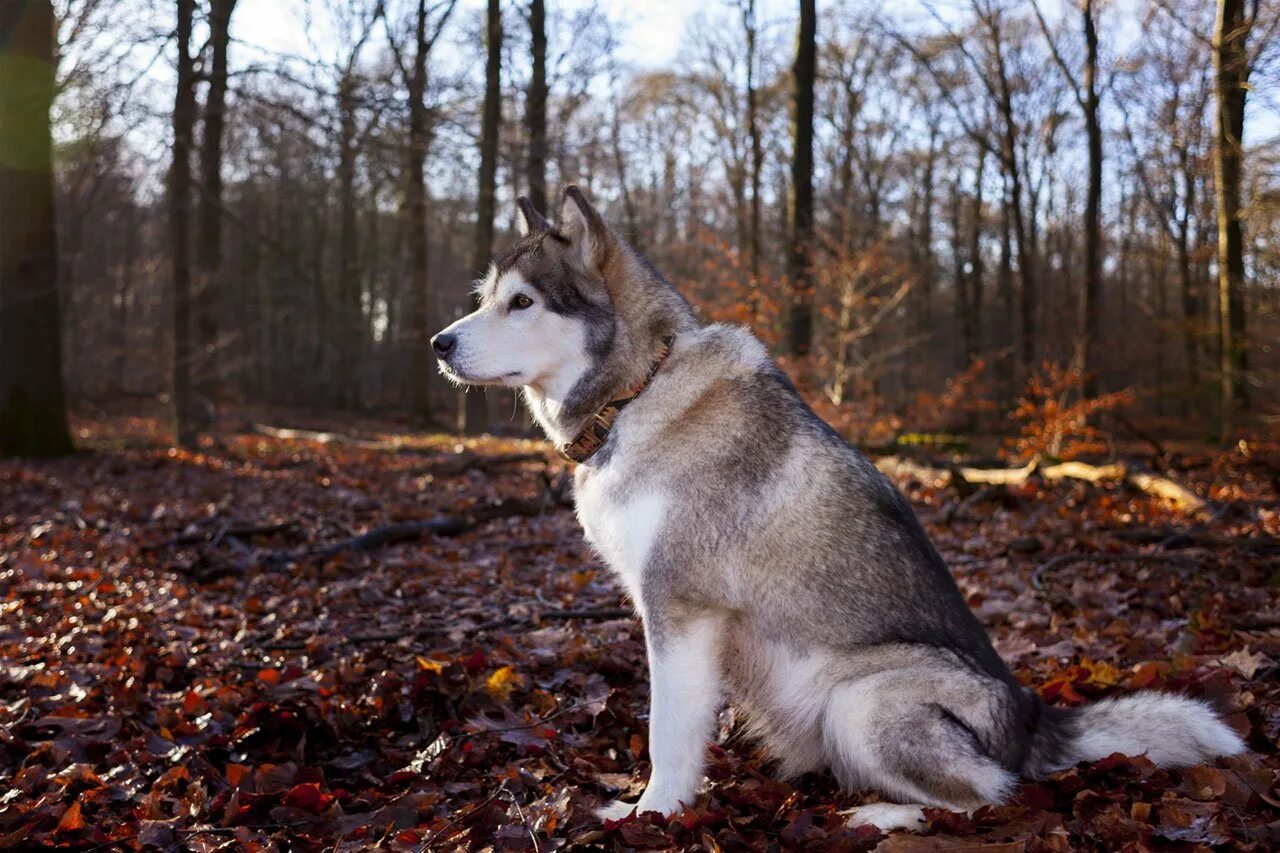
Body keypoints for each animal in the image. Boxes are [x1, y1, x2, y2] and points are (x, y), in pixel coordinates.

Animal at [427, 188, 1239, 829]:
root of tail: (1033, 716)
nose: (438, 342)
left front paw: (651, 812)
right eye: (483, 297)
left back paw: (880, 815)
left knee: (990, 794)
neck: (638, 389)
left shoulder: (680, 608)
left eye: (523, 302)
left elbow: (669, 732)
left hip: (863, 701)